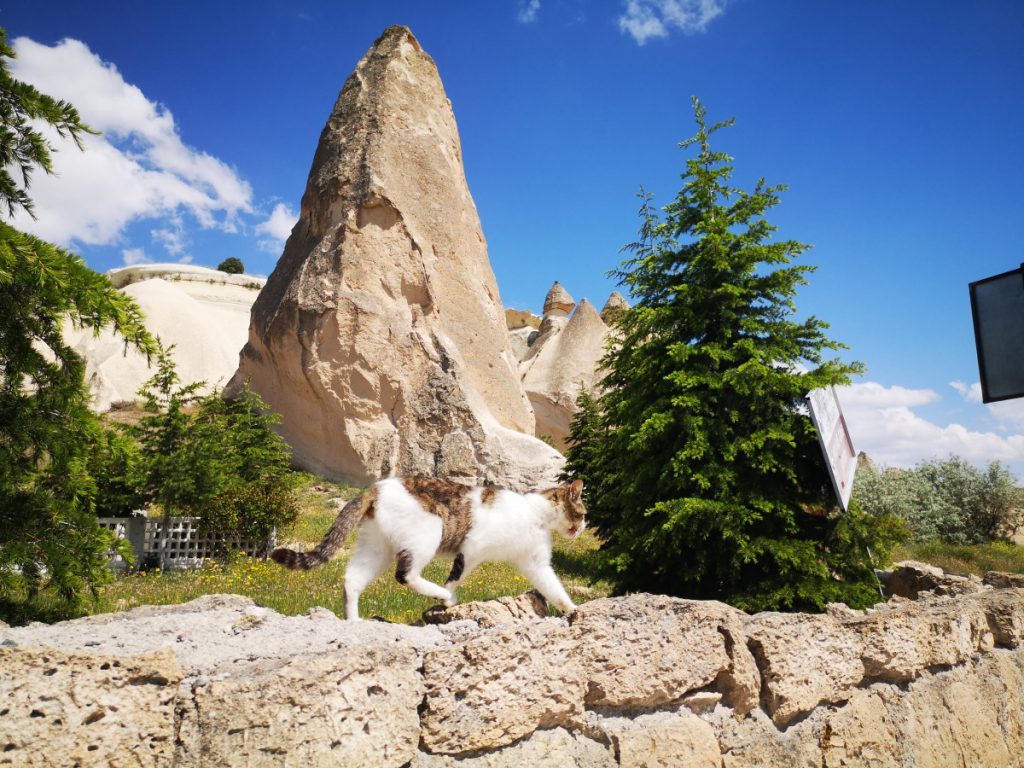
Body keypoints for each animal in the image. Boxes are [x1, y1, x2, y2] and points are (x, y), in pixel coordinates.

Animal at [268, 479, 589, 622]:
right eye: (583, 512)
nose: (585, 525)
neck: (536, 515)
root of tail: (376, 486)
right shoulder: (472, 549)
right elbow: (456, 576)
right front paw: (447, 599)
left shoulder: (535, 563)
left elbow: (555, 589)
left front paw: (572, 610)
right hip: (428, 532)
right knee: (405, 574)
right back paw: (440, 594)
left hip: (377, 549)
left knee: (352, 580)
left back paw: (353, 621)